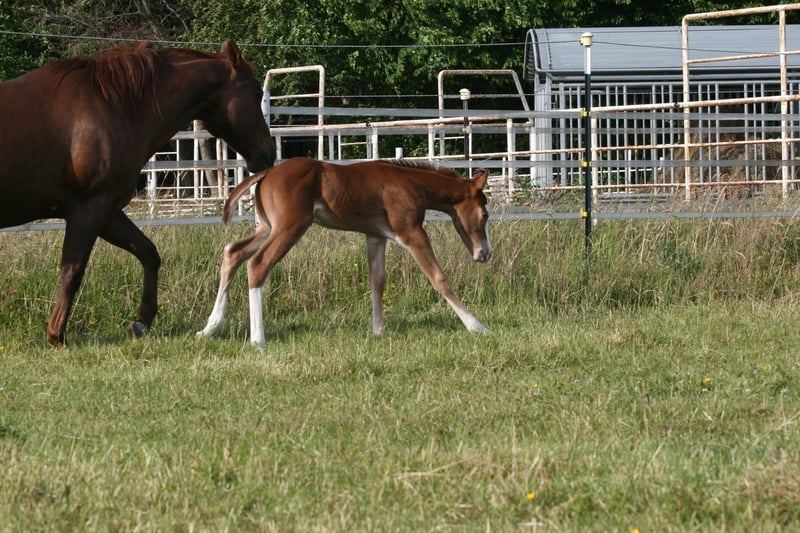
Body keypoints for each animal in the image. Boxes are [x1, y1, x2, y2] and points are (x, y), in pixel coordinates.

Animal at [0, 40, 276, 348]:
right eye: (256, 93)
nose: (268, 154)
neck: (113, 106)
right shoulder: (88, 209)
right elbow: (72, 271)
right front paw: (56, 336)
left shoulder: (108, 212)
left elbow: (148, 253)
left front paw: (141, 322)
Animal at [197, 157, 492, 346]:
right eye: (485, 213)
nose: (485, 254)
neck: (410, 183)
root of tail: (267, 173)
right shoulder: (411, 232)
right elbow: (438, 277)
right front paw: (477, 326)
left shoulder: (375, 236)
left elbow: (377, 281)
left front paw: (378, 331)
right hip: (289, 227)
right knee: (258, 263)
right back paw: (258, 338)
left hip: (267, 228)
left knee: (232, 252)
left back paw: (209, 328)